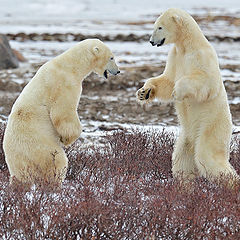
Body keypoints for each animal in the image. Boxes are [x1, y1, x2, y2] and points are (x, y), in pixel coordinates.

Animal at [3, 38, 119, 185]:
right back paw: (55, 183)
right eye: (111, 57)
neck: (70, 65)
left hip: (17, 160)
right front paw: (67, 138)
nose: (118, 71)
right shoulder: (65, 84)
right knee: (57, 161)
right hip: (40, 145)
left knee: (20, 176)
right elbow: (63, 112)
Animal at [136, 8, 239, 181]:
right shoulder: (175, 56)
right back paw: (185, 183)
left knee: (208, 155)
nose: (151, 41)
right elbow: (167, 79)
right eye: (155, 25)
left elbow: (207, 82)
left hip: (211, 125)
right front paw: (144, 92)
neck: (187, 45)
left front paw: (177, 91)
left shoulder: (201, 56)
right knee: (182, 159)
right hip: (186, 136)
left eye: (160, 27)